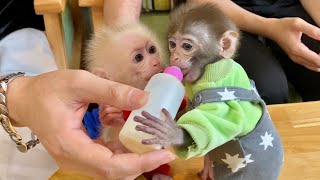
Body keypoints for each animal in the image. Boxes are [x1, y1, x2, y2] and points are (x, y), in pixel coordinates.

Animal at [134, 2, 284, 180]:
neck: (210, 70)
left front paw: (173, 133)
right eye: (172, 45)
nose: (174, 57)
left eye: (186, 46)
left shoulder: (225, 99)